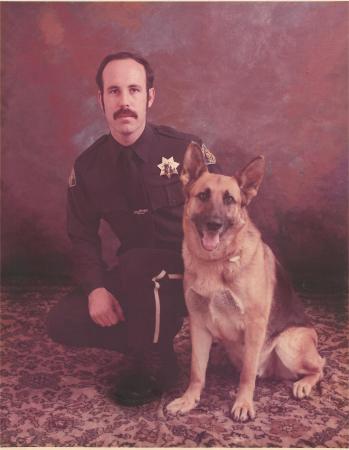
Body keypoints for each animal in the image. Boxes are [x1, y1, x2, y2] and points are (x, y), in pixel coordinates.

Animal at [166, 143, 324, 422]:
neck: (216, 261)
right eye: (203, 195)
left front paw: (243, 403)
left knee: (320, 366)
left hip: (288, 344)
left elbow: (247, 374)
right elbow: (196, 370)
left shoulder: (255, 324)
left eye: (229, 199)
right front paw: (189, 399)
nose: (214, 224)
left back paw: (304, 384)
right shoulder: (198, 324)